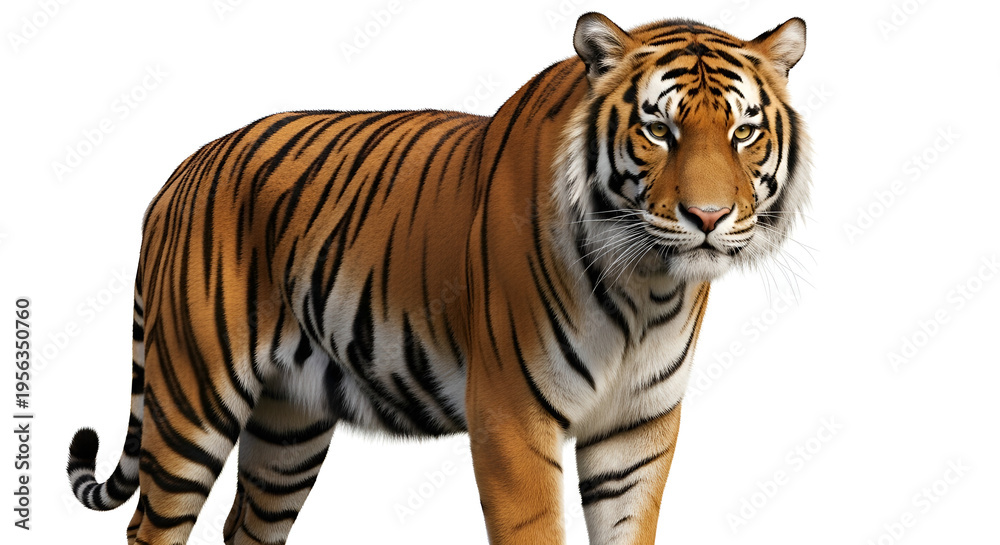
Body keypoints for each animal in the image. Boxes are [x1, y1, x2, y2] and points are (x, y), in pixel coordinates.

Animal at [65, 12, 810, 545]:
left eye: (744, 132)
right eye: (659, 129)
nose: (708, 217)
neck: (649, 287)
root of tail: (177, 175)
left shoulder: (637, 431)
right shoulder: (512, 418)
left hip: (288, 427)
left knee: (244, 526)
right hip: (193, 399)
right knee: (152, 525)